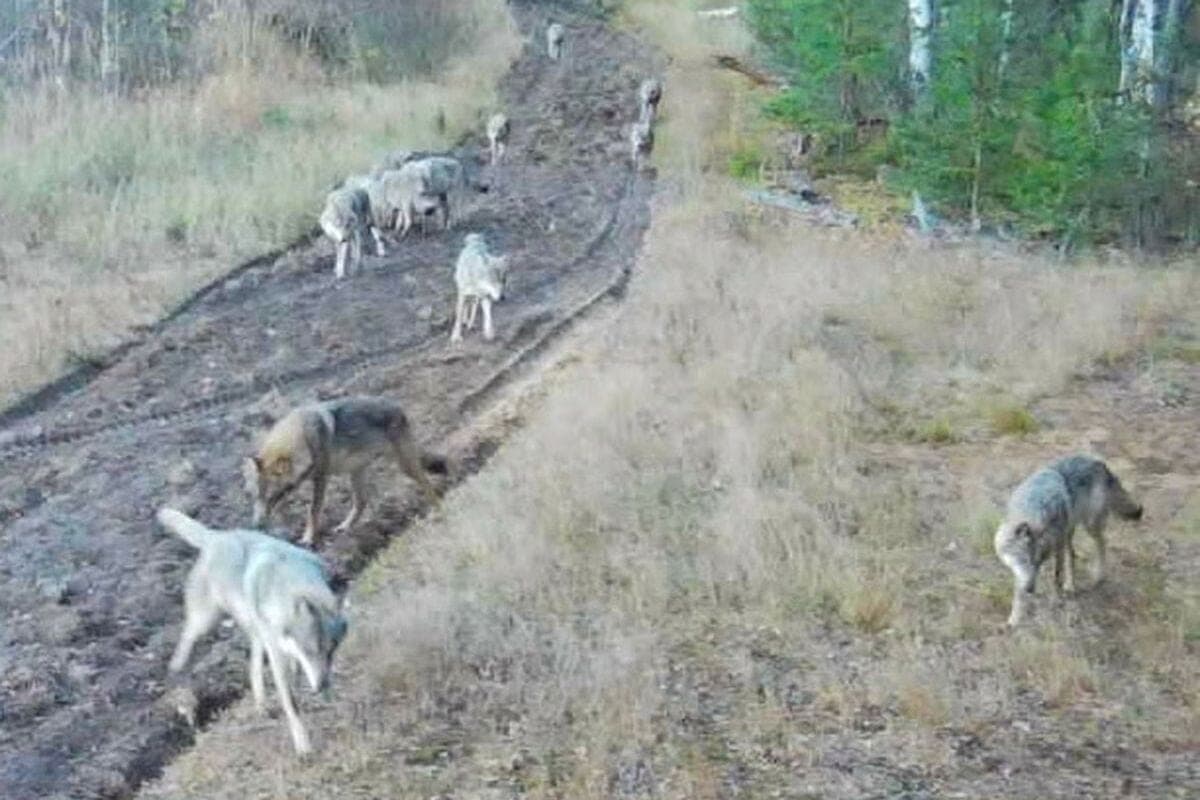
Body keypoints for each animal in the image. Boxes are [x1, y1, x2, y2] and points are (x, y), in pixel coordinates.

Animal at [243, 396, 448, 546]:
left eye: (271, 497)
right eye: (254, 496)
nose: (256, 526)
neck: (302, 437)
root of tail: (398, 407)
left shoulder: (321, 477)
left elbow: (313, 511)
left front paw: (307, 539)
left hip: (405, 466)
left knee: (427, 482)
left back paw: (438, 510)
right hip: (356, 473)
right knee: (362, 502)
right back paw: (344, 527)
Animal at [994, 454, 1143, 627]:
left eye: (1038, 562)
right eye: (1025, 561)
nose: (1031, 589)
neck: (1034, 506)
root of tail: (1097, 461)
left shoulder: (1056, 546)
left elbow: (1056, 577)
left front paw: (1054, 599)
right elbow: (1018, 593)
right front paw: (1014, 619)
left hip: (1088, 526)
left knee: (1102, 543)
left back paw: (1098, 575)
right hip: (1068, 532)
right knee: (1071, 555)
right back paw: (1070, 585)